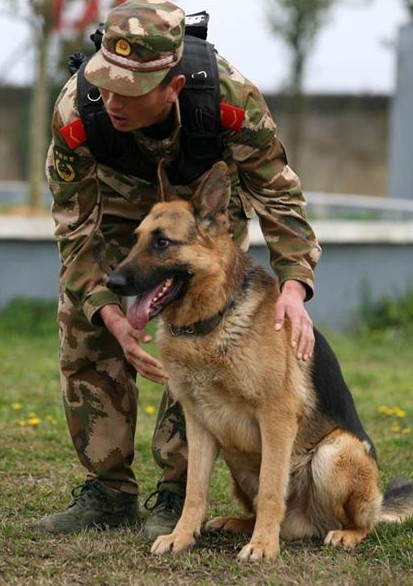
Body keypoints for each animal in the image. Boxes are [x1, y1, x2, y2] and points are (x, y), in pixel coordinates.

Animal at [107, 161, 412, 560]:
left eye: (162, 242)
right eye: (136, 238)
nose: (111, 282)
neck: (213, 320)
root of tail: (305, 523)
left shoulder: (276, 416)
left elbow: (270, 489)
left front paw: (264, 546)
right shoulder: (198, 424)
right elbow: (194, 491)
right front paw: (181, 536)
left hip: (333, 453)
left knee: (363, 522)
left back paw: (340, 534)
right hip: (237, 462)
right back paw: (237, 524)